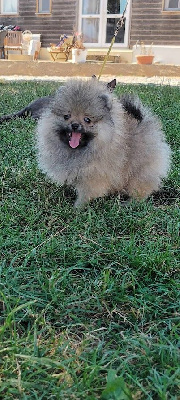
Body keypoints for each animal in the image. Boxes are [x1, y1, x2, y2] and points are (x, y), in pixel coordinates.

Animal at [35, 79, 171, 208]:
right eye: (66, 116)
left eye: (87, 119)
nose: (75, 125)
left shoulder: (94, 177)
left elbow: (86, 194)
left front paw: (77, 208)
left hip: (141, 170)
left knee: (141, 188)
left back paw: (131, 202)